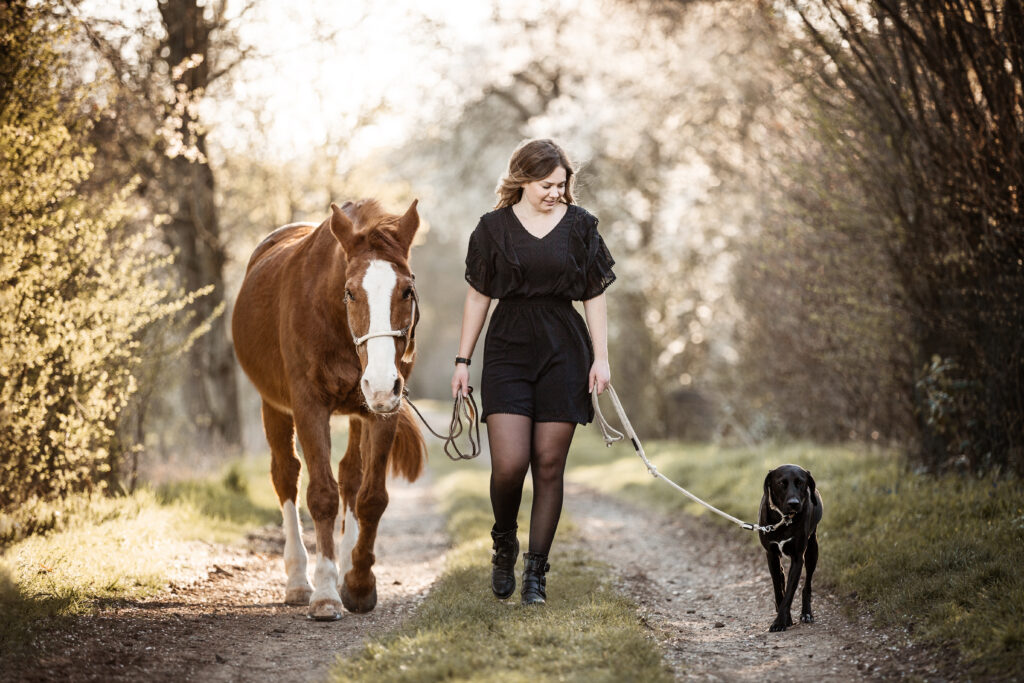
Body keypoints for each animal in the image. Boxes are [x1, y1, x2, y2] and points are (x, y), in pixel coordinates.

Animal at [231, 197, 423, 618]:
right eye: (349, 292)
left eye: (407, 290)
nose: (380, 380)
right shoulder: (309, 406)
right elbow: (321, 495)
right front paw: (324, 593)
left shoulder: (382, 409)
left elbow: (370, 497)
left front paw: (359, 582)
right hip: (273, 406)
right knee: (286, 475)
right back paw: (299, 580)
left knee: (351, 477)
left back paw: (342, 566)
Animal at [761, 466, 823, 634]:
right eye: (781, 483)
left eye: (800, 483)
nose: (794, 503)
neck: (784, 520)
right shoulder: (771, 555)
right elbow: (778, 588)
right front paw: (785, 618)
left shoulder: (797, 558)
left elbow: (789, 592)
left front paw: (780, 621)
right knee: (781, 577)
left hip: (812, 551)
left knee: (807, 585)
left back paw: (807, 613)